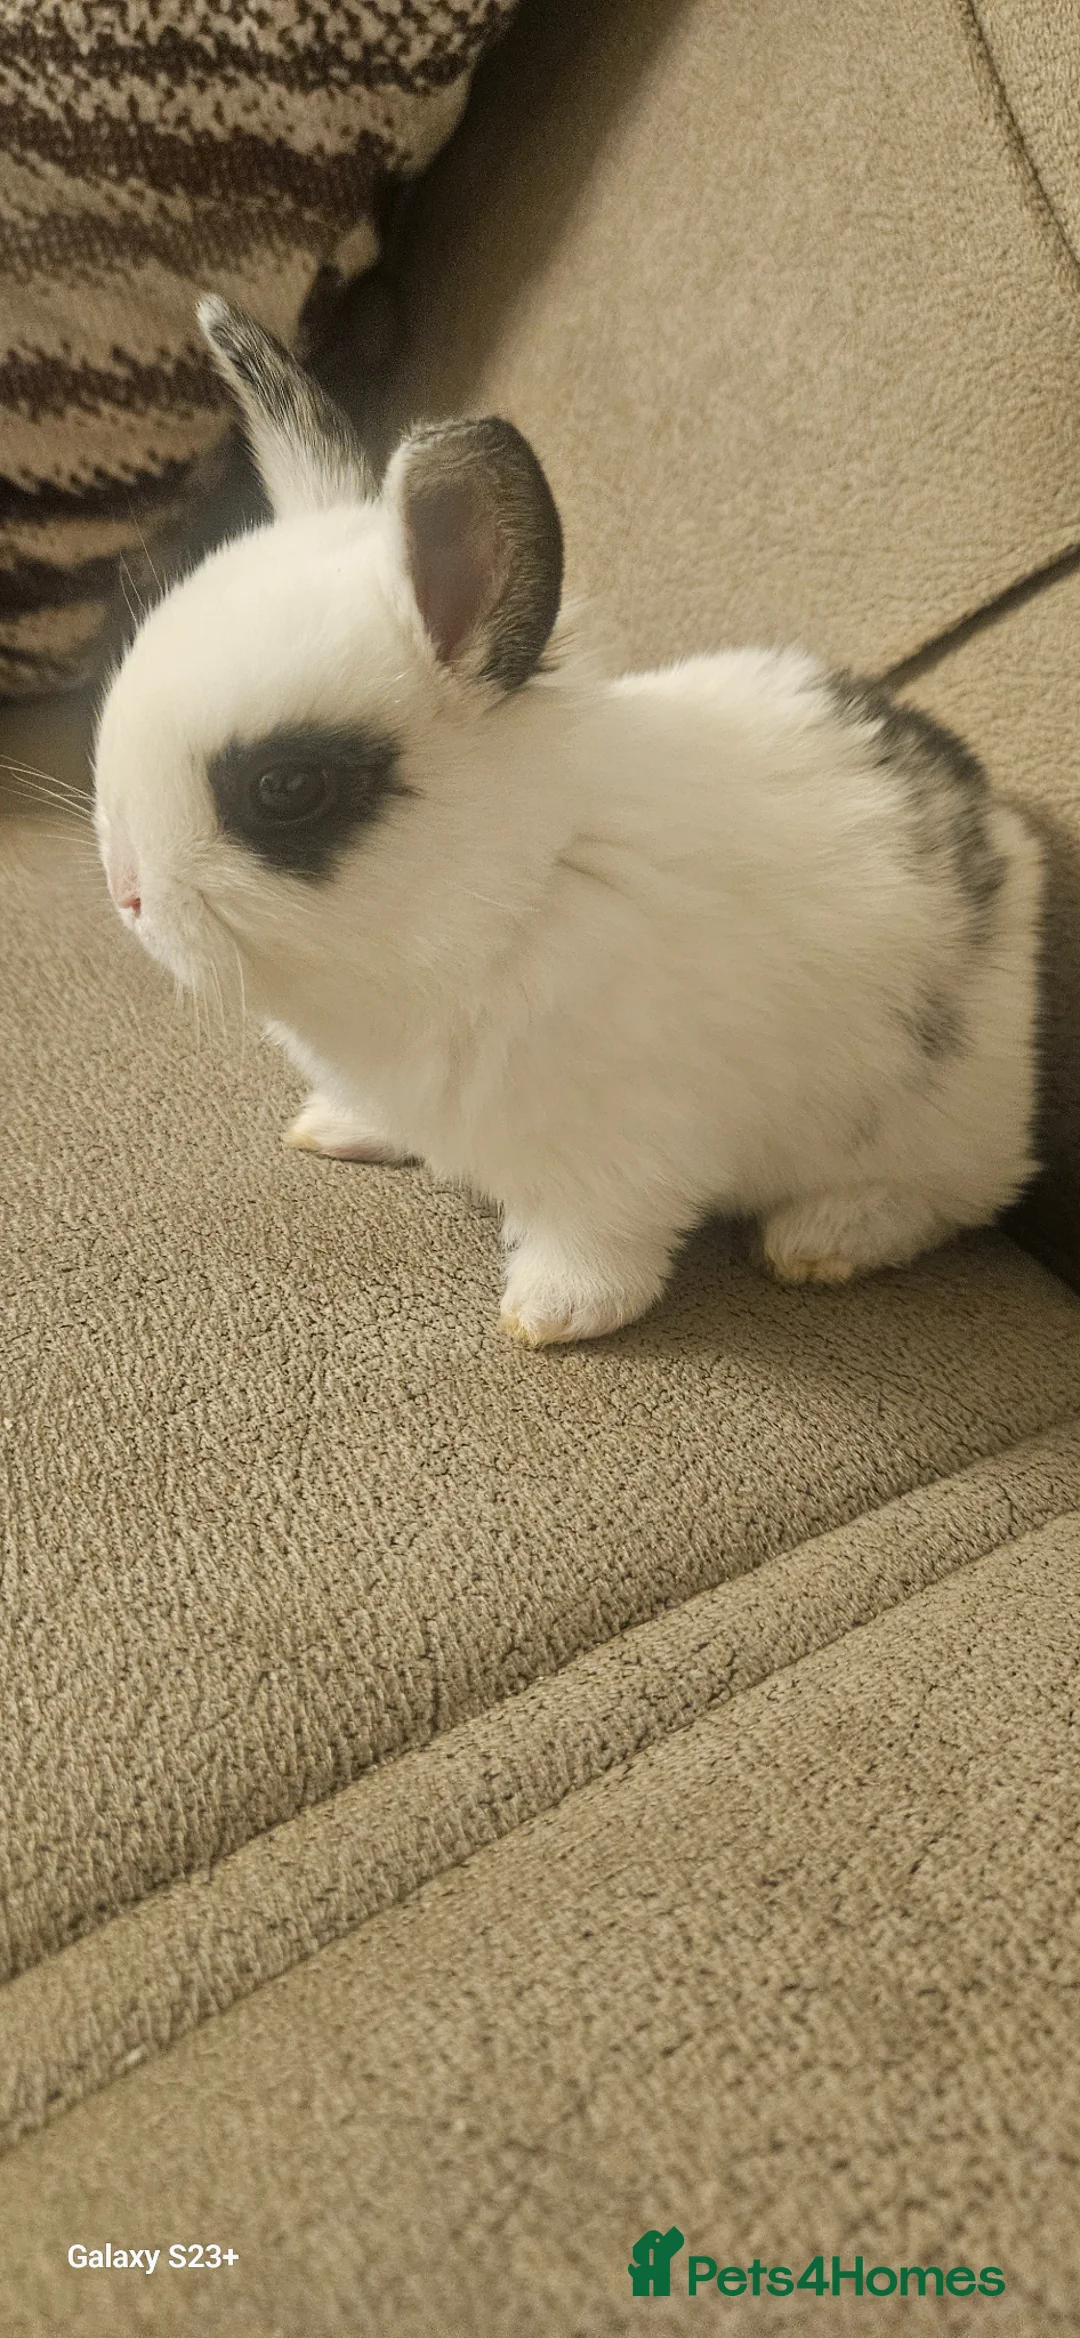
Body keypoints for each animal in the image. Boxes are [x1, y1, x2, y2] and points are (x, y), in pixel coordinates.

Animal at [93, 295, 1044, 1348]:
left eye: (286, 788)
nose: (127, 895)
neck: (523, 885)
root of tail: (1006, 832)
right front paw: (337, 1125)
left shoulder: (625, 1148)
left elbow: (602, 1242)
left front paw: (550, 1316)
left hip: (925, 1118)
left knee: (959, 1195)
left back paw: (820, 1240)